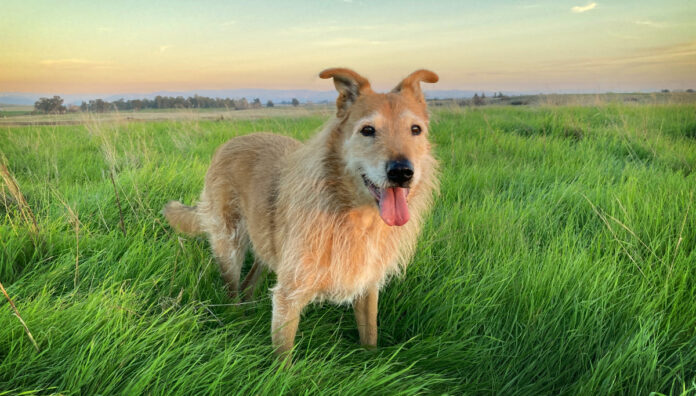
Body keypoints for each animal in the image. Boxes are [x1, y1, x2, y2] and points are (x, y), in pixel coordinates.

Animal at [162, 67, 440, 356]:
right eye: (368, 130)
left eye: (416, 130)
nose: (402, 172)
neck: (354, 217)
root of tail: (229, 143)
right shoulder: (289, 296)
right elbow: (283, 360)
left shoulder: (367, 287)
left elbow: (370, 338)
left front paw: (371, 362)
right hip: (230, 245)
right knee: (232, 291)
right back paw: (236, 322)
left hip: (268, 246)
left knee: (249, 283)